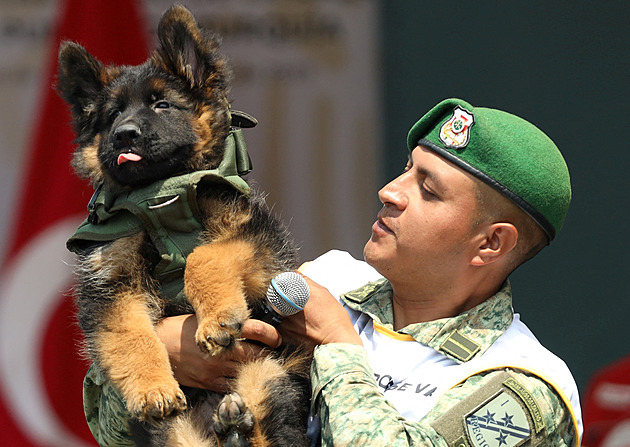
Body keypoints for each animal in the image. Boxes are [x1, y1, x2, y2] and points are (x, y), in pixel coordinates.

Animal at [60, 4, 312, 447]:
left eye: (162, 104)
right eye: (112, 116)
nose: (124, 136)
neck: (161, 196)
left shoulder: (259, 244)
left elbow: (203, 256)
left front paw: (216, 319)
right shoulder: (109, 283)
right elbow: (128, 334)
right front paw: (152, 389)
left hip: (267, 370)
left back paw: (238, 425)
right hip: (176, 431)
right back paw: (230, 426)